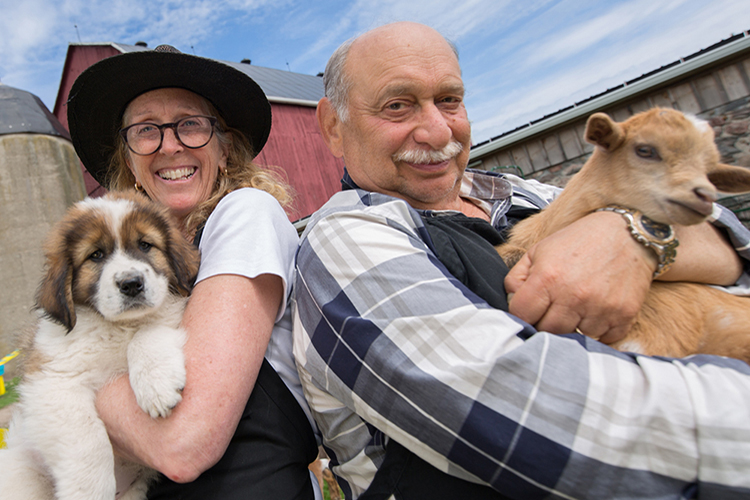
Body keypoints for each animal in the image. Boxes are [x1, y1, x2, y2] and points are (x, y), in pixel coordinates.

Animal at [0, 189, 201, 498]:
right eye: (96, 255)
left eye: (145, 245)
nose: (131, 284)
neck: (117, 326)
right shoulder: (52, 379)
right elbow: (86, 439)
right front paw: (89, 490)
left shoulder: (170, 313)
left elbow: (148, 331)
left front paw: (156, 386)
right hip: (21, 474)